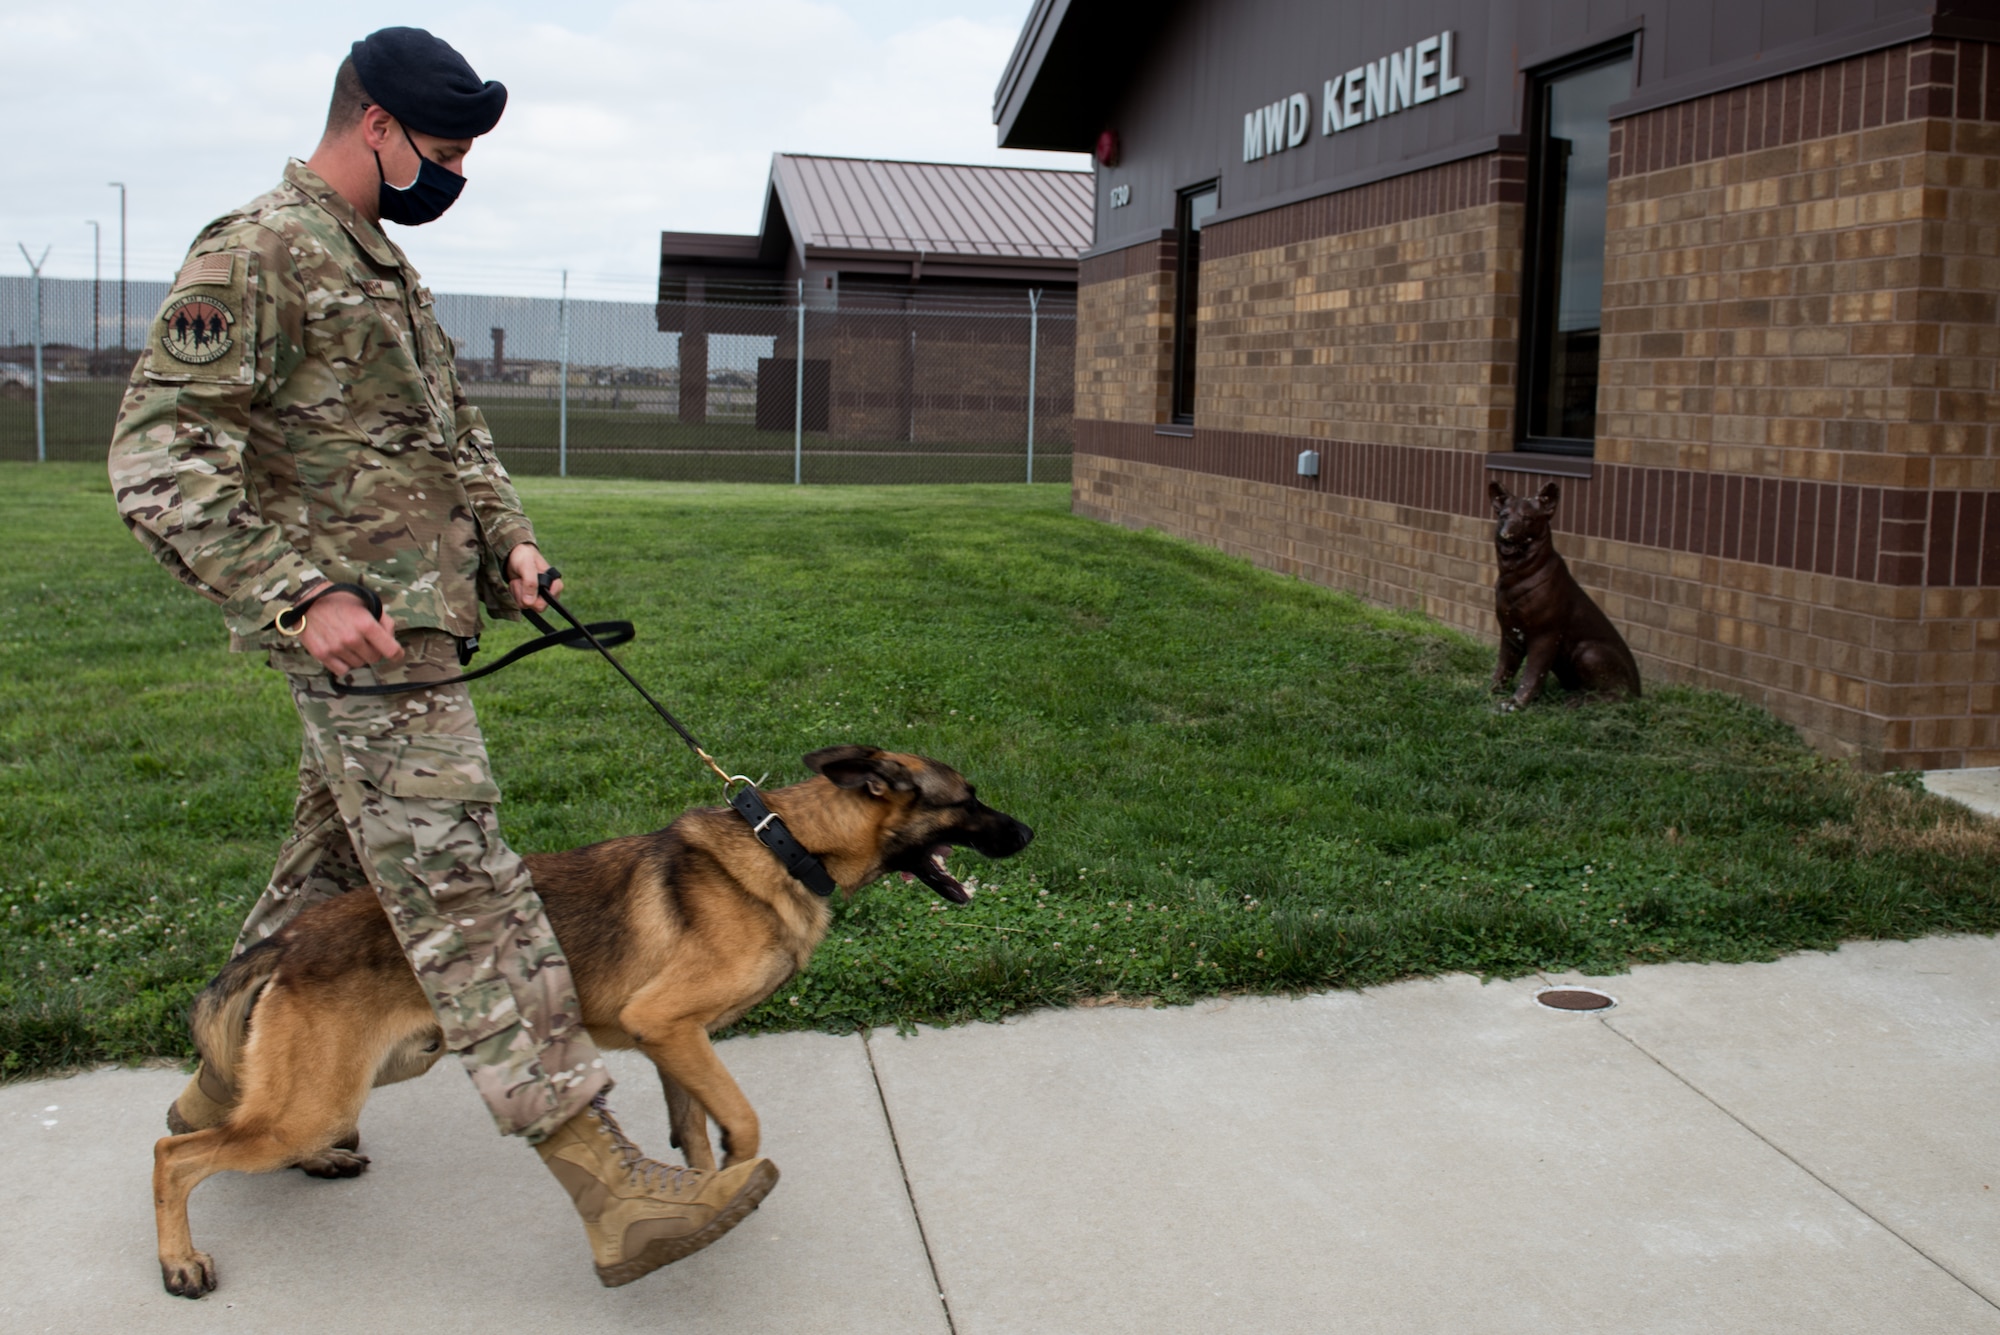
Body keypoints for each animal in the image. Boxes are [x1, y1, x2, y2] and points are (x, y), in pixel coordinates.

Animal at [152, 739, 1032, 1295]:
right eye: (969, 799)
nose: (1030, 829)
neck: (793, 845)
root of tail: (291, 937)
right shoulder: (667, 1023)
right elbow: (743, 1121)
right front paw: (738, 1175)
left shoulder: (672, 1042)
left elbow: (693, 1130)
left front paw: (701, 1197)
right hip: (319, 1097)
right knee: (175, 1154)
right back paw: (179, 1261)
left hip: (376, 1067)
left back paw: (310, 1157)